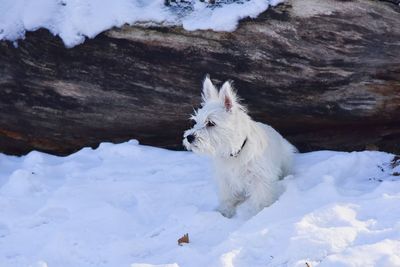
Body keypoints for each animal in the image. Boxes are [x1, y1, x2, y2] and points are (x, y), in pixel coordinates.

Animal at [183, 76, 296, 219]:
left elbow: (260, 200)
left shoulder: (259, 179)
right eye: (196, 121)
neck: (234, 152)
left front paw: (258, 216)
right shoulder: (225, 179)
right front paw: (224, 214)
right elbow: (227, 198)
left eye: (210, 123)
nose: (189, 137)